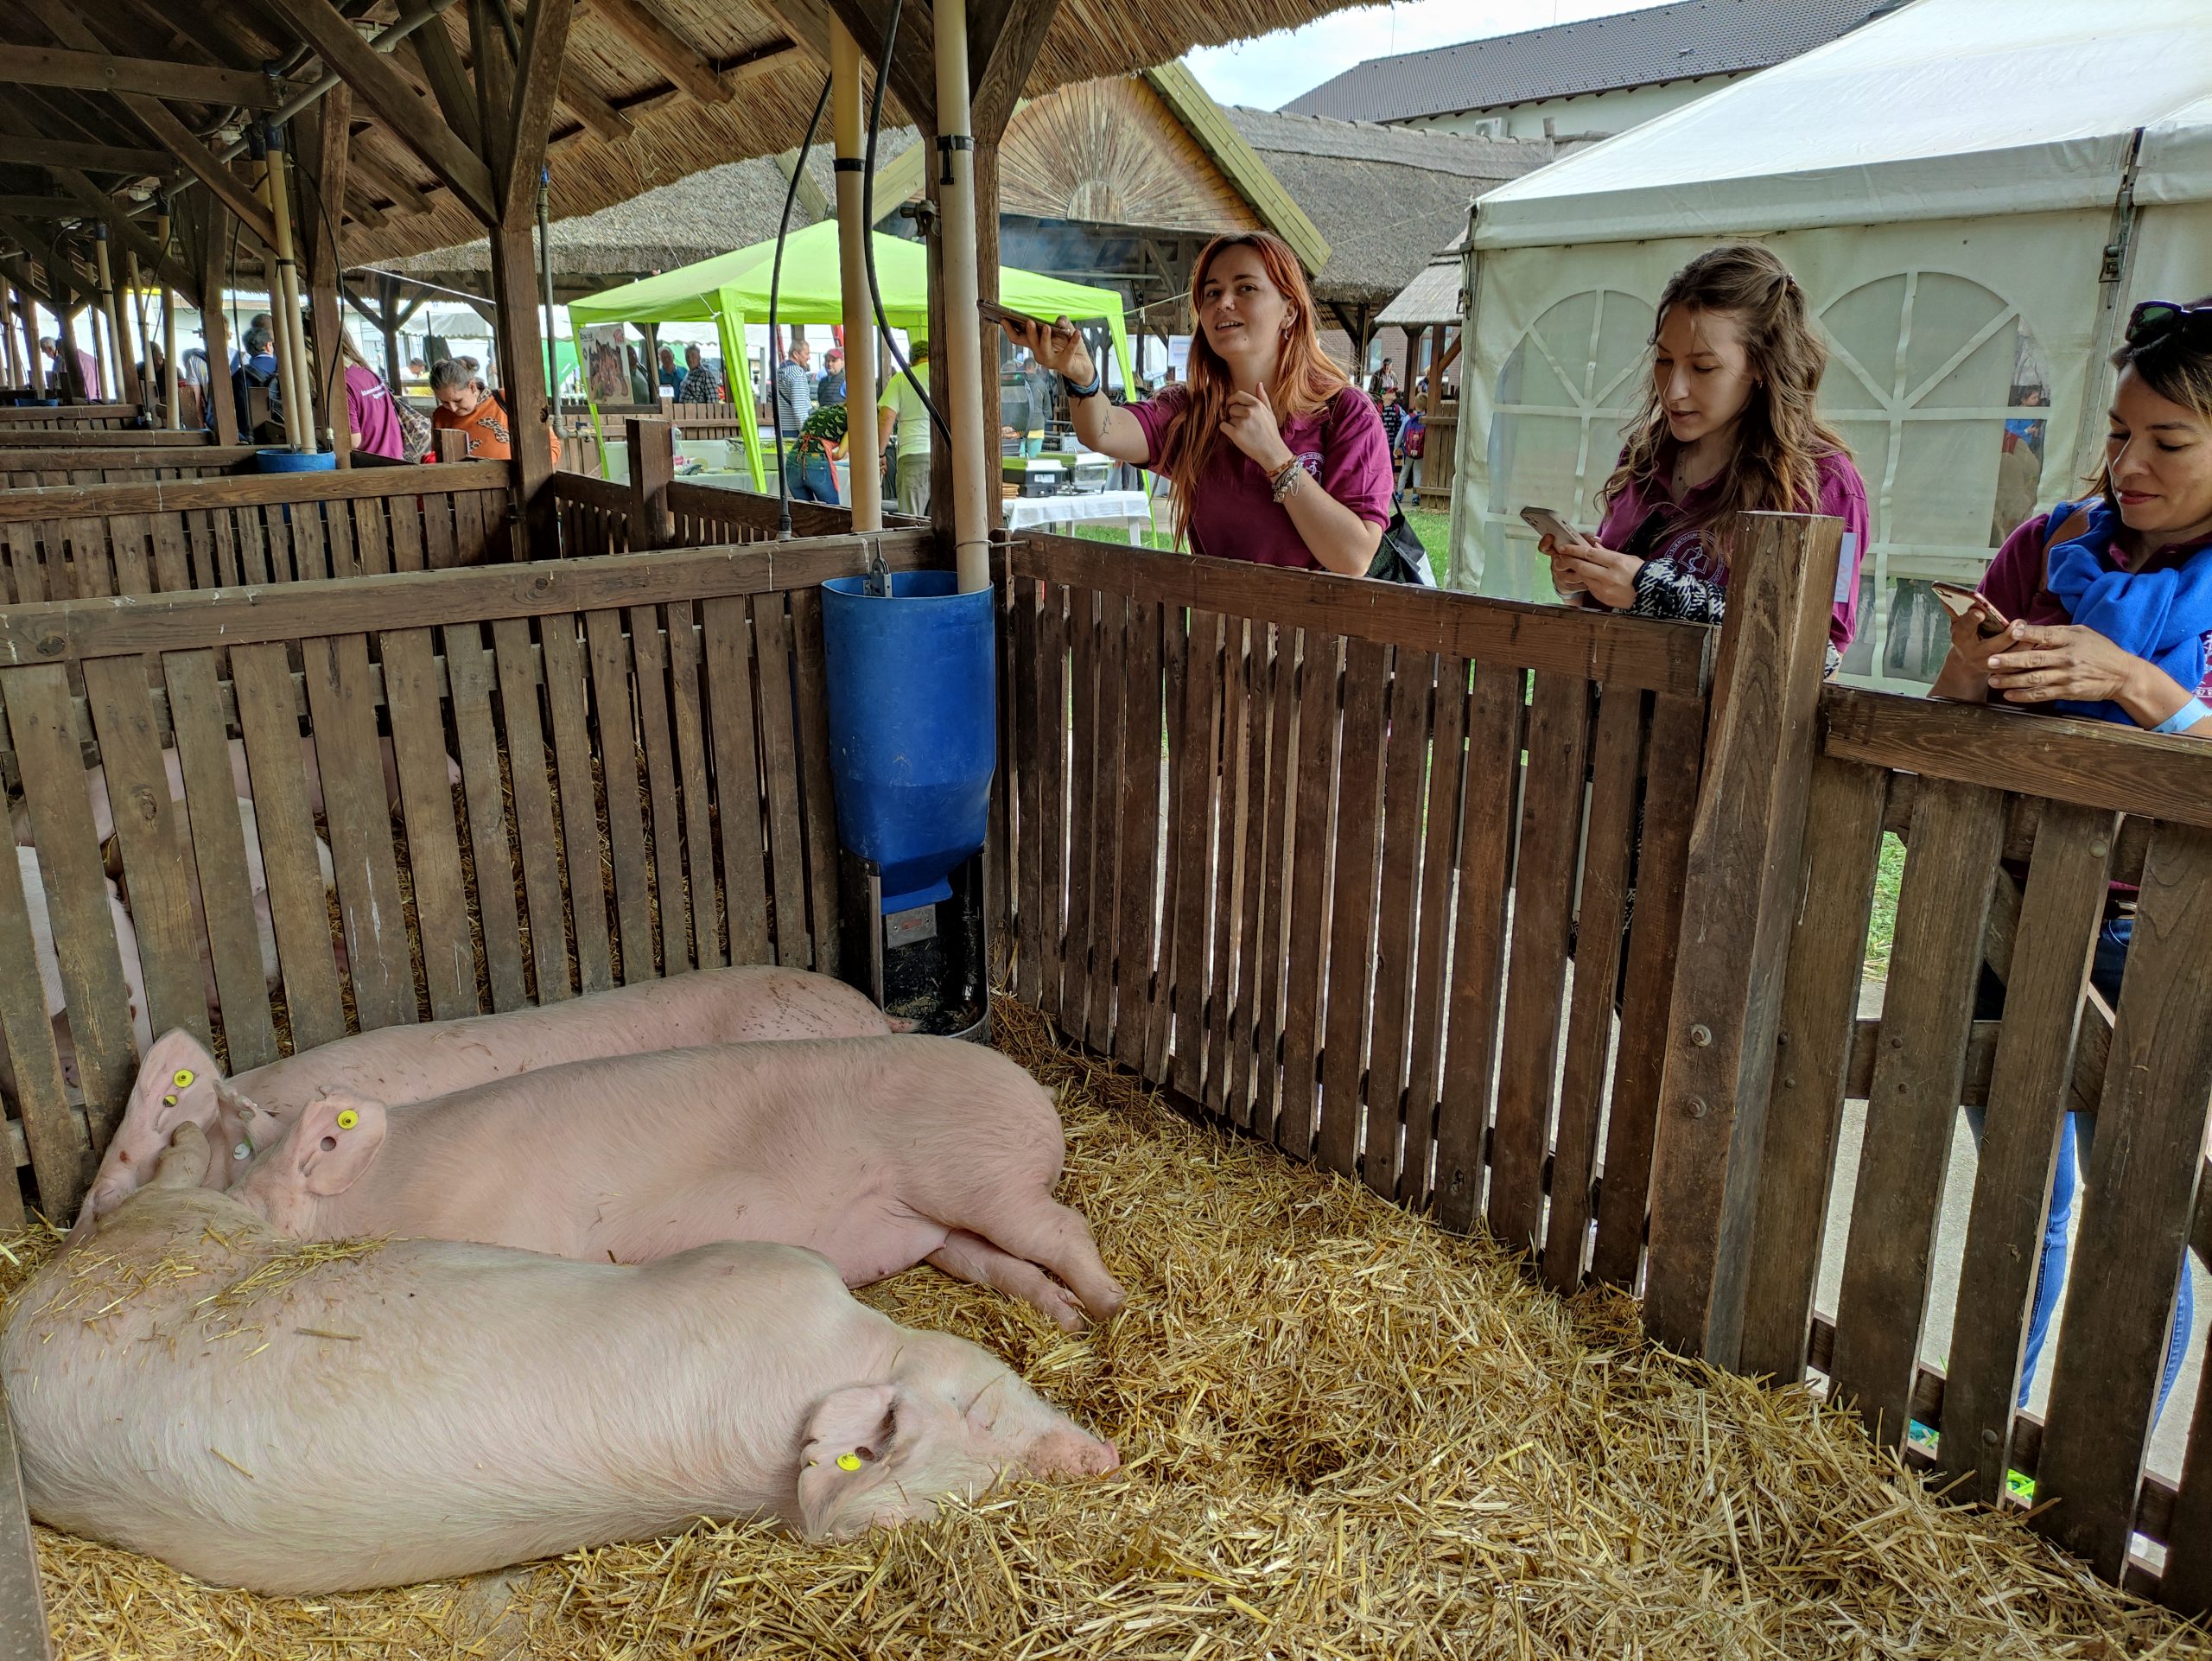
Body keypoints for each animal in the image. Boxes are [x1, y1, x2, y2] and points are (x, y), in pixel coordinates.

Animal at [0, 1123, 1106, 1592]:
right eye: (979, 1405)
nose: (1097, 1461)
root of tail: (25, 1320)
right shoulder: (758, 1266)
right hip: (171, 1234)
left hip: (171, 1237)